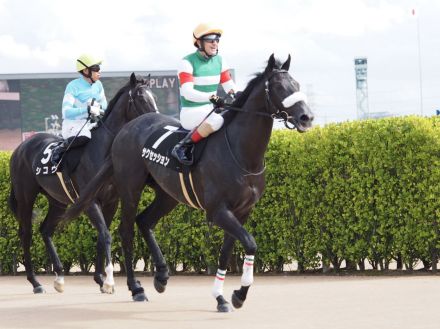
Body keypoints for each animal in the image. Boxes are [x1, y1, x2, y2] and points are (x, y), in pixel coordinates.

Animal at [8, 73, 158, 294]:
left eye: (153, 96)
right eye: (140, 97)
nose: (156, 119)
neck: (102, 151)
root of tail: (20, 148)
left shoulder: (111, 202)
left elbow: (102, 236)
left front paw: (100, 279)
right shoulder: (90, 201)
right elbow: (105, 234)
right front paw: (109, 281)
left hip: (57, 201)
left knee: (45, 230)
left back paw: (59, 277)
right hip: (26, 197)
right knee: (26, 233)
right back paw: (35, 282)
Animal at [64, 53, 312, 310]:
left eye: (297, 85)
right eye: (279, 87)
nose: (306, 117)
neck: (241, 154)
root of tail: (125, 130)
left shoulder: (243, 211)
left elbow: (227, 252)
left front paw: (224, 296)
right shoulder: (217, 210)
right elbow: (250, 243)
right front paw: (238, 294)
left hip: (167, 195)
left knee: (145, 221)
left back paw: (161, 275)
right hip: (130, 189)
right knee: (126, 231)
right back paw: (136, 288)